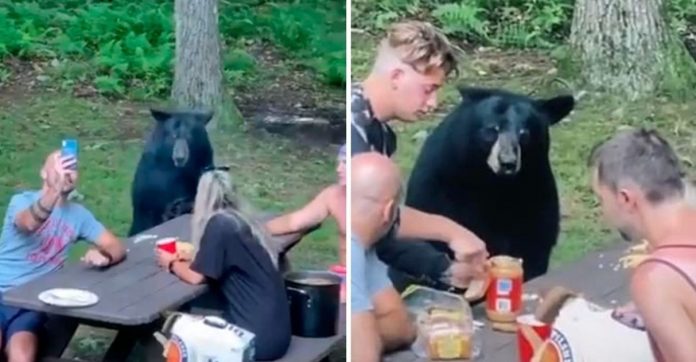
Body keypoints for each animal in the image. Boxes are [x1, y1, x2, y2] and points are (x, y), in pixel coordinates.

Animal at [378, 87, 572, 292]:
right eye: (492, 130)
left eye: (524, 133)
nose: (507, 163)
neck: (494, 184)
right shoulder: (442, 183)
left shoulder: (535, 189)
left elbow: (535, 241)